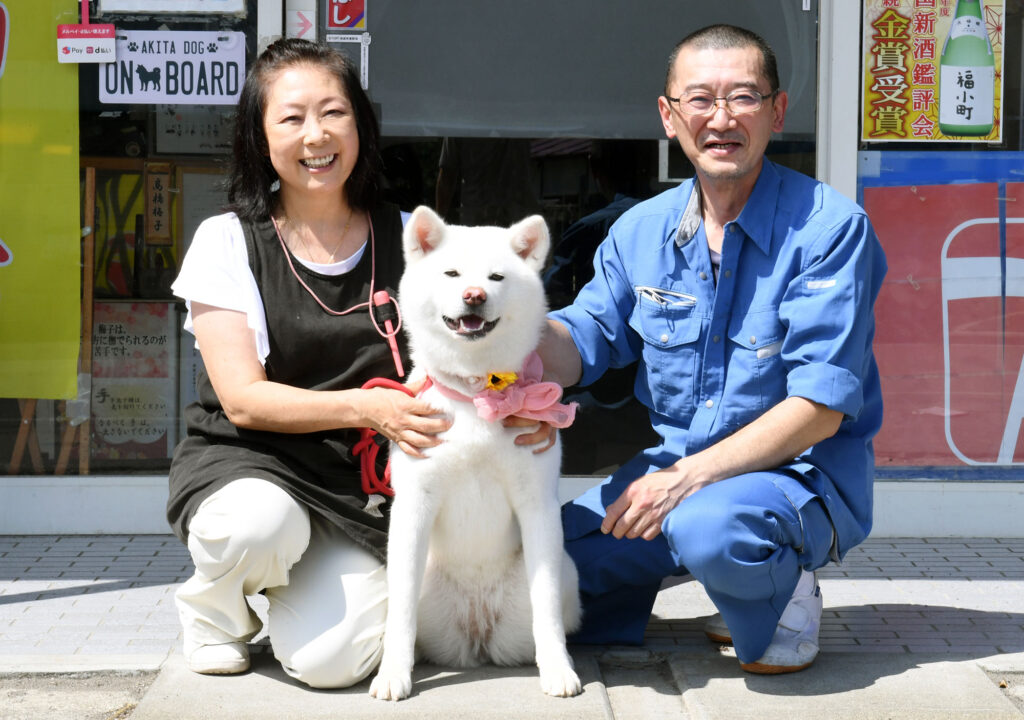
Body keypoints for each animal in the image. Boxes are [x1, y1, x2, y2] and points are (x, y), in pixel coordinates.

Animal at [372, 205, 585, 700]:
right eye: (452, 273)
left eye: (496, 277)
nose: (474, 295)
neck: (476, 393)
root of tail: (477, 631)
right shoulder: (413, 505)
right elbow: (401, 616)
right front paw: (393, 673)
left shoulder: (538, 506)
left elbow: (546, 605)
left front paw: (558, 669)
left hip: (563, 572)